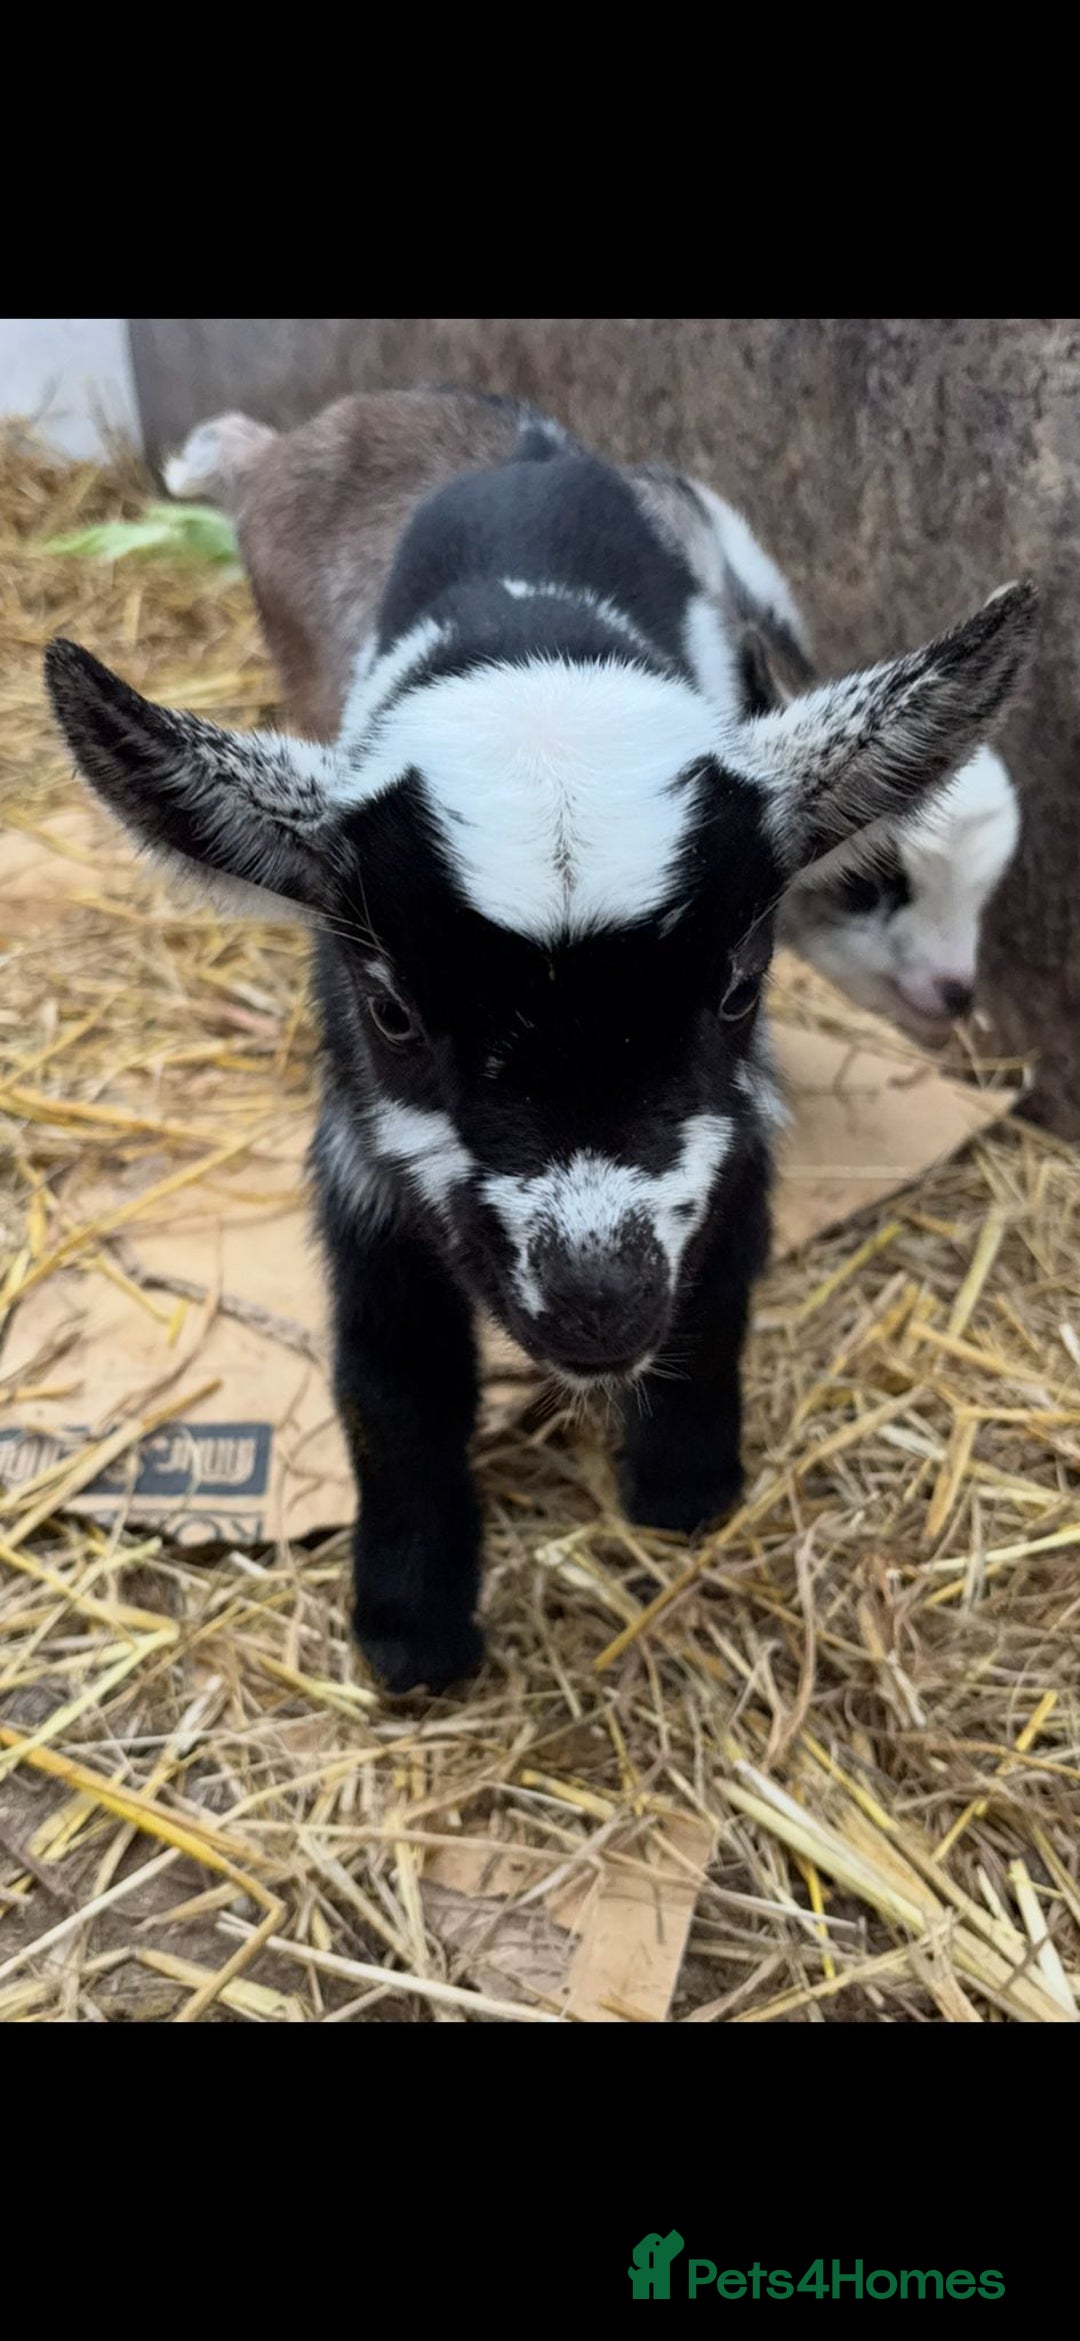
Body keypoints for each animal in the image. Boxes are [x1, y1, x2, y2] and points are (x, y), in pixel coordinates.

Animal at [44, 394, 1036, 1691]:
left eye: (737, 986)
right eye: (393, 1010)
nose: (596, 1304)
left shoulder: (732, 1116)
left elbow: (723, 1274)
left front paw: (686, 1489)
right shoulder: (364, 1142)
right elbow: (392, 1375)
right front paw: (412, 1629)